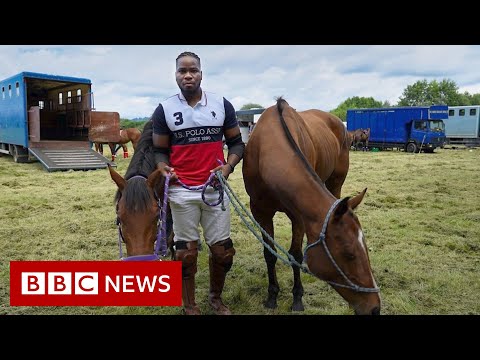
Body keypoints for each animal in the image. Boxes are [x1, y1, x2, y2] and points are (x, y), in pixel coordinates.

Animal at [242, 98, 380, 316]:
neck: (266, 150)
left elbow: (296, 255)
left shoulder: (298, 216)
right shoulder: (260, 212)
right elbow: (269, 253)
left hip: (335, 183)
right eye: (349, 254)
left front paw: (297, 298)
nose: (375, 308)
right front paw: (272, 296)